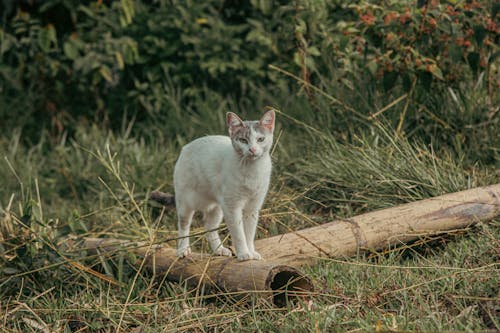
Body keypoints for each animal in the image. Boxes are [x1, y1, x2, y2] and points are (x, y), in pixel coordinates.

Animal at [174, 110, 276, 260]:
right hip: (186, 203)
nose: (252, 149)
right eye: (243, 140)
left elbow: (249, 234)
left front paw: (251, 252)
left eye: (260, 139)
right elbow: (239, 234)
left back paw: (219, 250)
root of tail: (186, 147)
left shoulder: (252, 208)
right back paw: (183, 250)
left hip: (218, 209)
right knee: (183, 226)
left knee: (209, 227)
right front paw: (244, 254)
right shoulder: (232, 207)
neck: (252, 170)